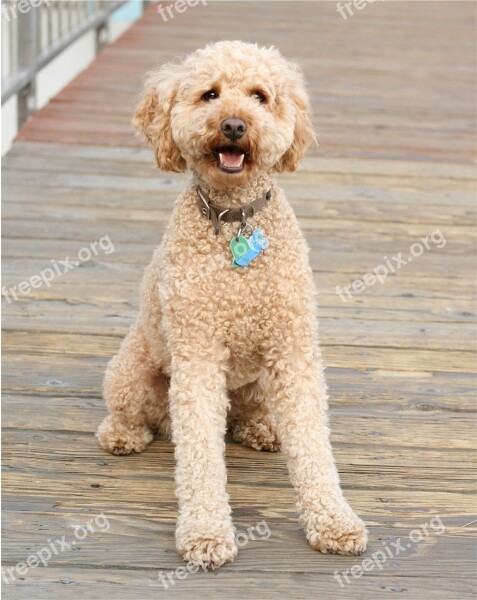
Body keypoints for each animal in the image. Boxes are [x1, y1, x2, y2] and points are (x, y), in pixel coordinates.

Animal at [96, 41, 364, 568]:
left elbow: (313, 444)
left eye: (260, 96)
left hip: (259, 382)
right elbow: (200, 453)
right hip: (130, 375)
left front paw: (334, 520)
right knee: (136, 417)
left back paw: (261, 429)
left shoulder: (293, 350)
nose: (235, 125)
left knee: (244, 415)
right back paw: (123, 435)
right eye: (210, 94)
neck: (234, 216)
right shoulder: (197, 356)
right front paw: (205, 533)